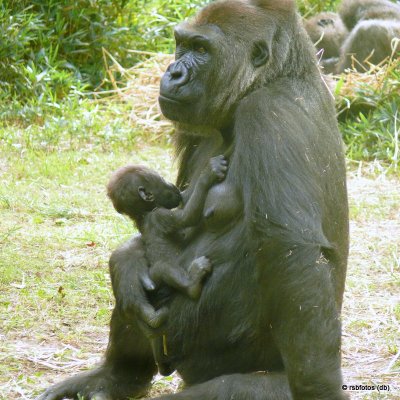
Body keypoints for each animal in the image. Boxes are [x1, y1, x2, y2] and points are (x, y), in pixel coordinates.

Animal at [106, 156, 227, 300]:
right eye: (162, 180)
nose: (172, 185)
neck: (143, 213)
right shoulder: (160, 216)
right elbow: (188, 216)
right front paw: (208, 174)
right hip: (155, 283)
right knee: (163, 268)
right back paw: (192, 284)